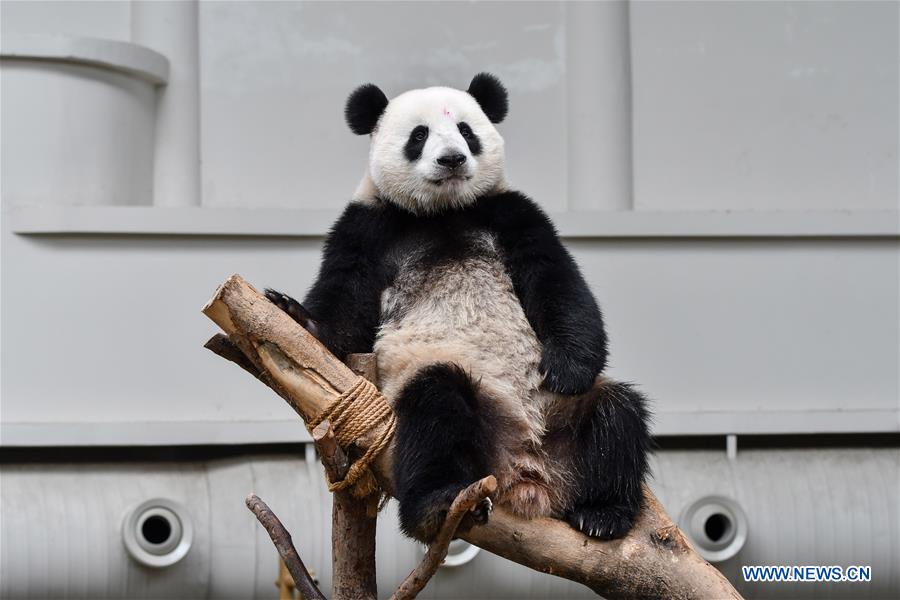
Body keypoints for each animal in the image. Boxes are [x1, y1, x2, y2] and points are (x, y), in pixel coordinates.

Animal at [266, 73, 652, 542]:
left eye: (466, 130)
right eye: (419, 135)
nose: (451, 159)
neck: (442, 211)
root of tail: (525, 476)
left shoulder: (509, 213)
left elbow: (556, 280)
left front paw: (568, 367)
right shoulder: (368, 225)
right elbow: (346, 304)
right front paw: (294, 314)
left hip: (562, 415)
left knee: (616, 415)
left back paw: (602, 513)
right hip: (467, 412)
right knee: (435, 407)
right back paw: (438, 504)